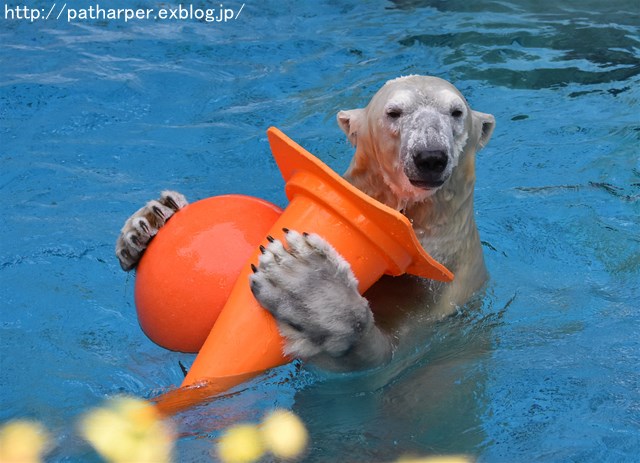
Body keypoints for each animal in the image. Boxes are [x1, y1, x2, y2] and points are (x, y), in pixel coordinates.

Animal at [115, 76, 496, 374]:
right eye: (394, 112)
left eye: (456, 112)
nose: (430, 156)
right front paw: (149, 222)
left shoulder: (439, 304)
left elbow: (380, 358)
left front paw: (306, 281)